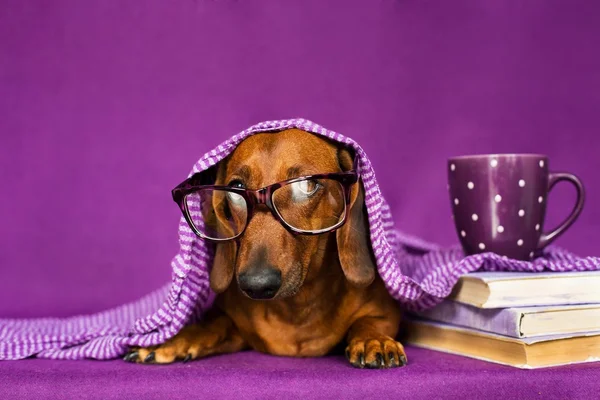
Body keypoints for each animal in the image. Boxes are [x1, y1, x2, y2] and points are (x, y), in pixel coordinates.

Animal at [126, 129, 408, 368]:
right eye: (237, 189)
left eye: (307, 185)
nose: (257, 285)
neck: (298, 306)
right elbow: (212, 324)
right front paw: (172, 339)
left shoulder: (386, 311)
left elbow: (368, 322)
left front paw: (373, 339)